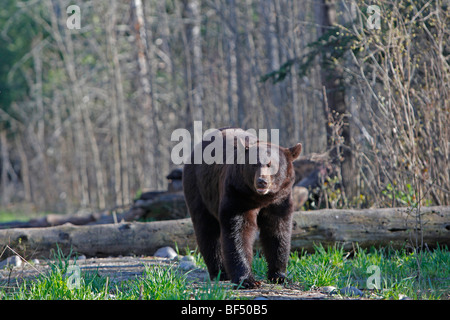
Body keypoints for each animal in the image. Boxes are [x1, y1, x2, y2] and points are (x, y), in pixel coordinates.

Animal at [181, 127, 300, 288]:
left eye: (271, 164)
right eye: (254, 164)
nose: (262, 181)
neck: (260, 199)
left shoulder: (280, 199)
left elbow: (277, 231)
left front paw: (279, 275)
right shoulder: (237, 195)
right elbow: (238, 231)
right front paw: (247, 280)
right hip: (199, 188)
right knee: (206, 229)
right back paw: (220, 272)